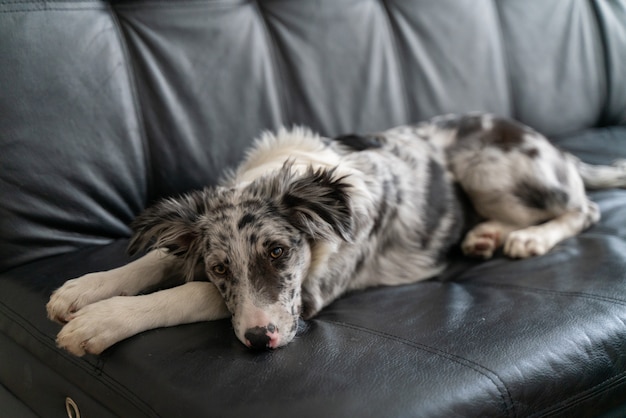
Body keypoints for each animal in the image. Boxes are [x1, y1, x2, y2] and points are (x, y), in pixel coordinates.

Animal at [47, 113, 624, 356]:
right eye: (219, 266)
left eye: (280, 251)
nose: (260, 341)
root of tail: (557, 147)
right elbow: (158, 261)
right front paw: (81, 290)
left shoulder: (308, 294)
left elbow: (187, 294)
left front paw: (101, 322)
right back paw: (486, 235)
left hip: (487, 167)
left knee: (587, 209)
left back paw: (529, 239)